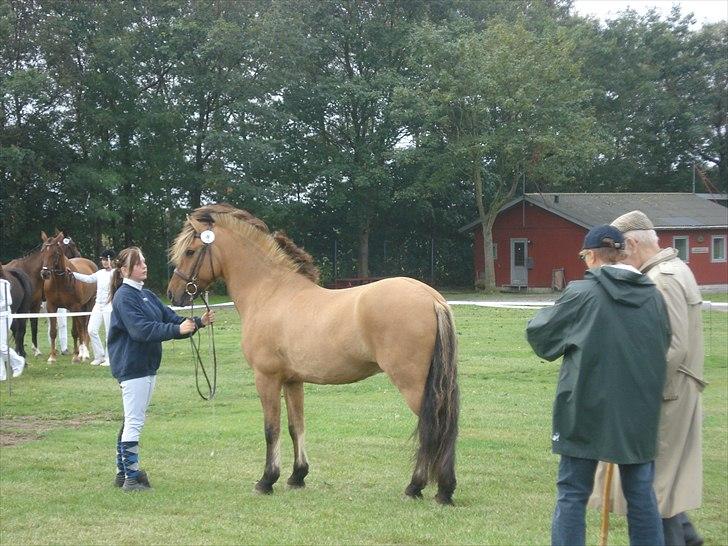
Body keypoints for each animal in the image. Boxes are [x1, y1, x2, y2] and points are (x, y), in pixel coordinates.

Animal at [39, 231, 97, 362]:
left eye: (55, 253)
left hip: (89, 305)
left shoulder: (74, 307)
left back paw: (84, 352)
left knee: (84, 327)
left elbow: (76, 331)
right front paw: (52, 357)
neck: (60, 281)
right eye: (42, 251)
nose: (45, 273)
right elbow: (53, 332)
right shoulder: (51, 307)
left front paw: (77, 355)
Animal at [168, 203, 458, 502]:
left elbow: (271, 429)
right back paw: (441, 489)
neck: (269, 293)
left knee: (431, 426)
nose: (173, 294)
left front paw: (266, 480)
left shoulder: (266, 378)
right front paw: (297, 476)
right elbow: (296, 426)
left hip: (412, 384)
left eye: (190, 251)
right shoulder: (293, 380)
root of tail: (432, 298)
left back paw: (419, 487)